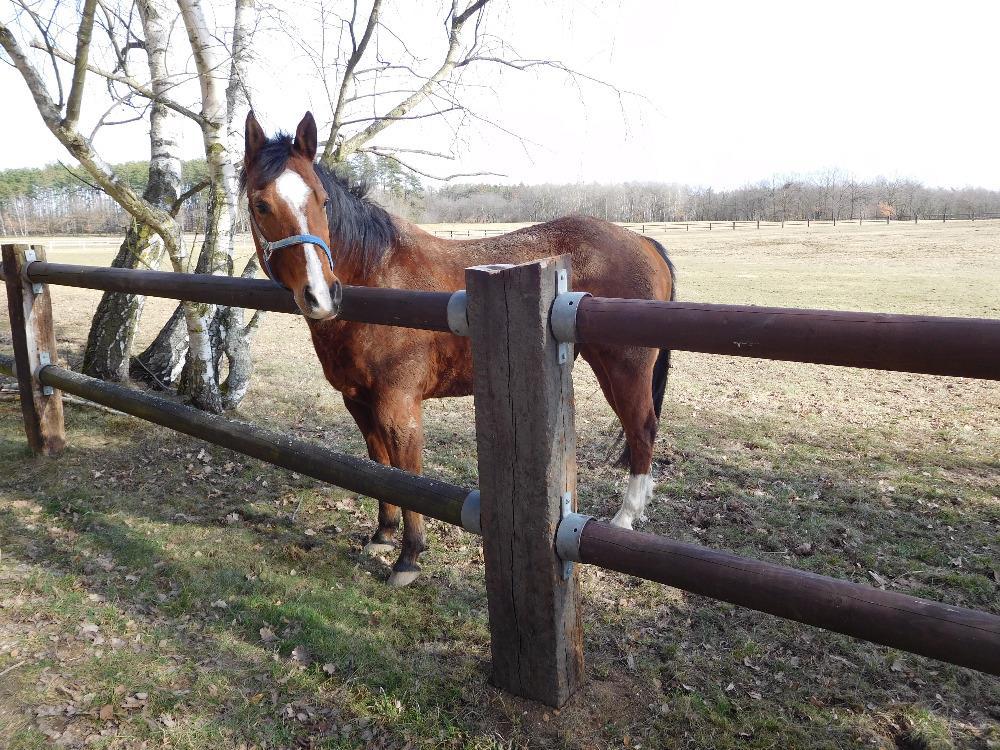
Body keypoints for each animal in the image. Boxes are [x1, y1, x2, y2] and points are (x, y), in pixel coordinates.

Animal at [243, 114, 680, 592]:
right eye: (261, 205)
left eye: (322, 200)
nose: (321, 295)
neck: (378, 276)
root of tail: (643, 242)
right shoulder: (358, 401)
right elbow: (380, 465)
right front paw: (382, 535)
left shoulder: (399, 404)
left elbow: (407, 472)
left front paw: (409, 557)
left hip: (625, 368)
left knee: (642, 430)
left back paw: (623, 520)